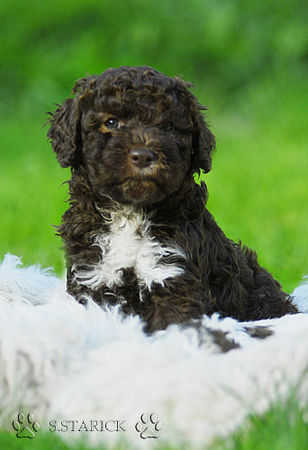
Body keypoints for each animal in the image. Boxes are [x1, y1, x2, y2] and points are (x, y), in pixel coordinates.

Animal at [47, 67, 296, 334]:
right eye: (111, 122)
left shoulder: (173, 276)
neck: (130, 213)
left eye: (167, 126)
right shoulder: (93, 278)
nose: (143, 156)